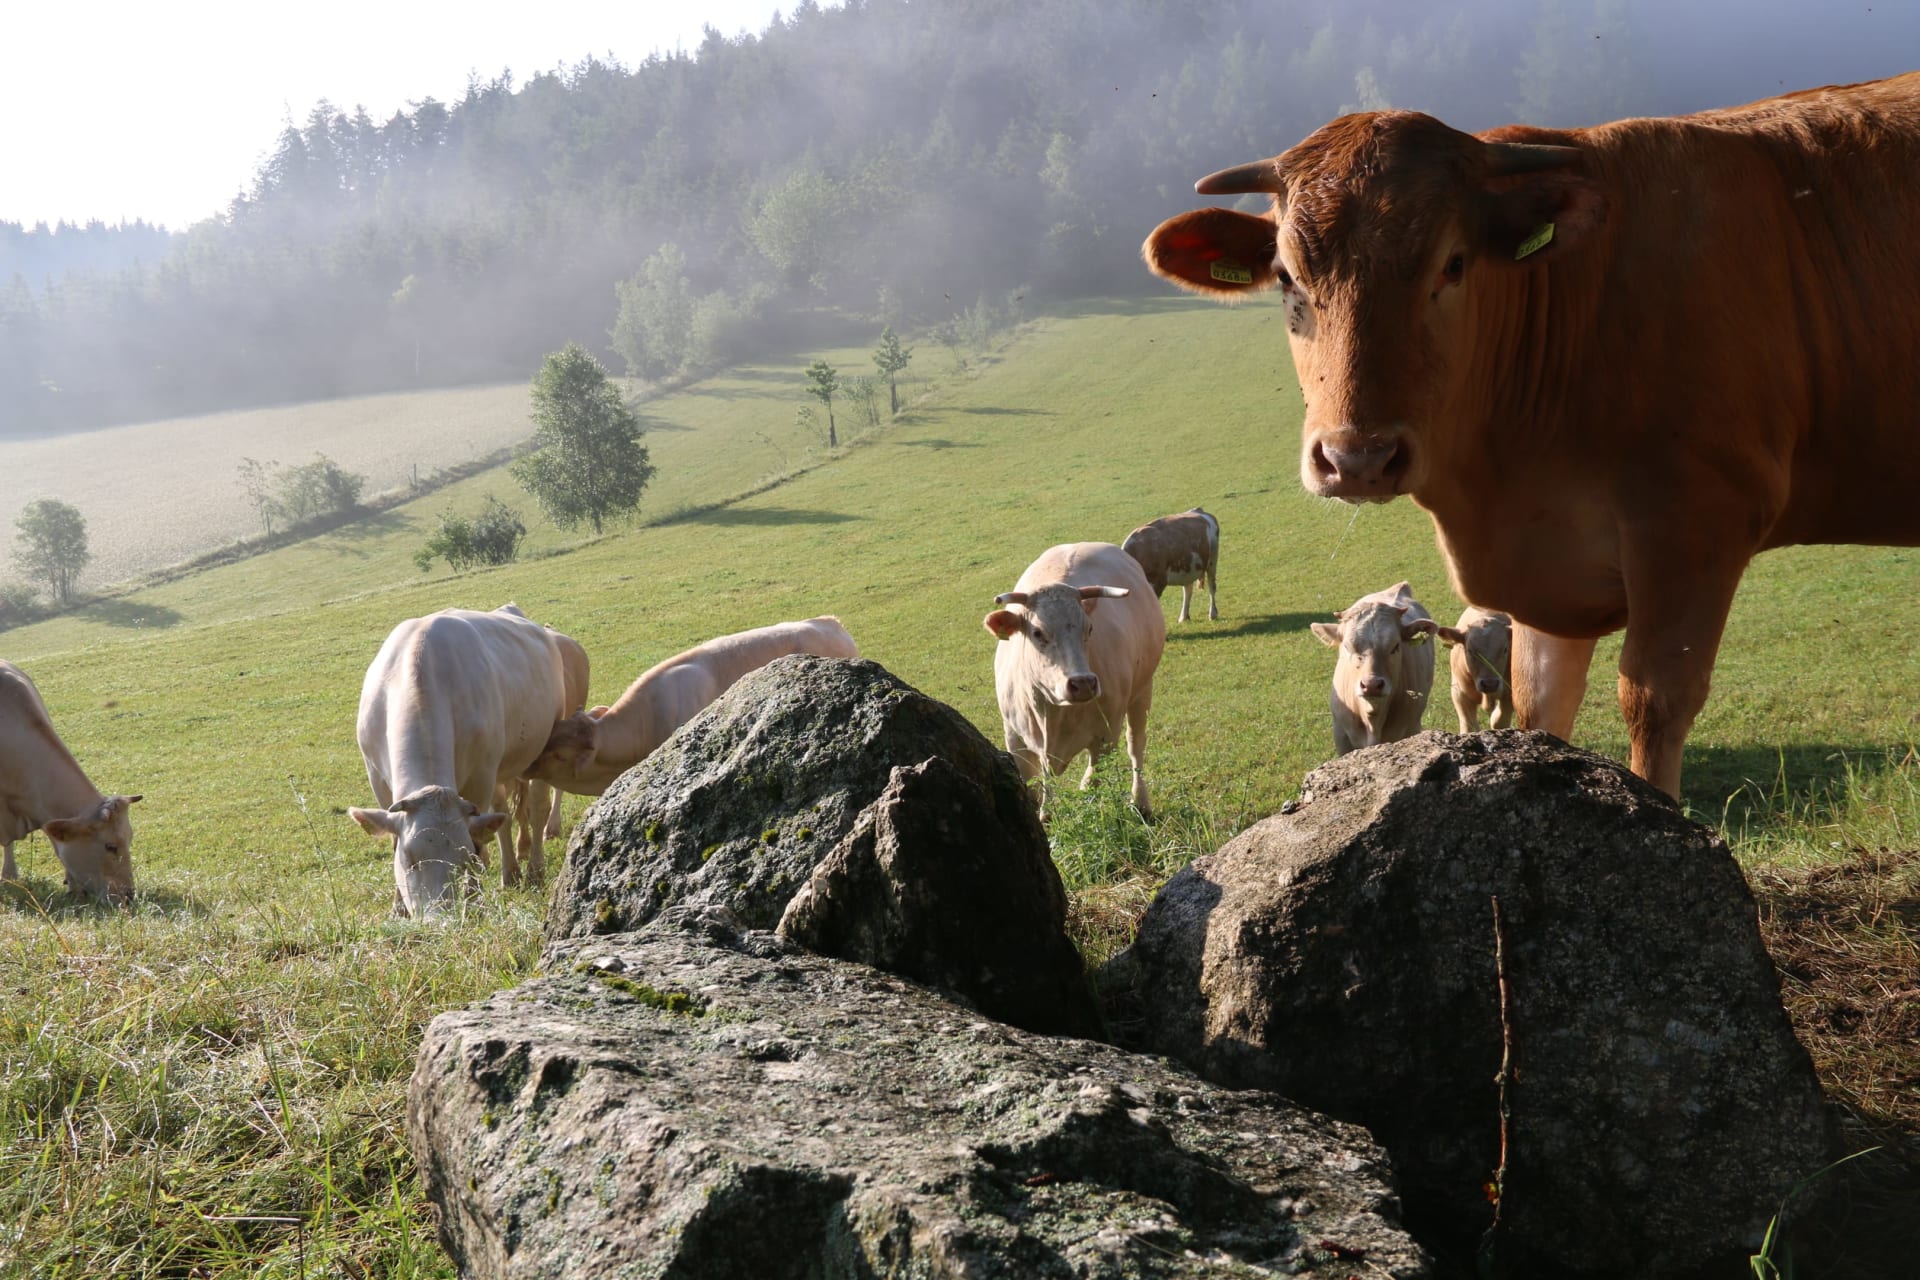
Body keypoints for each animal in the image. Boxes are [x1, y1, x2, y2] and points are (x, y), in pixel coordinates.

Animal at [349, 608, 570, 917]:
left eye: (464, 857)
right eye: (409, 858)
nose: (438, 919)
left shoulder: (480, 777)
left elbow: (479, 837)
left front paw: (474, 899)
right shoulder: (377, 777)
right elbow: (392, 835)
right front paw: (398, 908)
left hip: (547, 740)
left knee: (537, 808)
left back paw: (534, 871)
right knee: (502, 815)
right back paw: (510, 873)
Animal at [984, 542, 1166, 821]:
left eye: (1089, 628)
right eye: (1037, 632)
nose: (1083, 683)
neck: (1052, 712)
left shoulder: (1106, 736)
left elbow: (1090, 783)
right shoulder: (1015, 738)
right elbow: (1035, 790)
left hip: (1143, 690)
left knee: (1136, 746)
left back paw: (1141, 802)